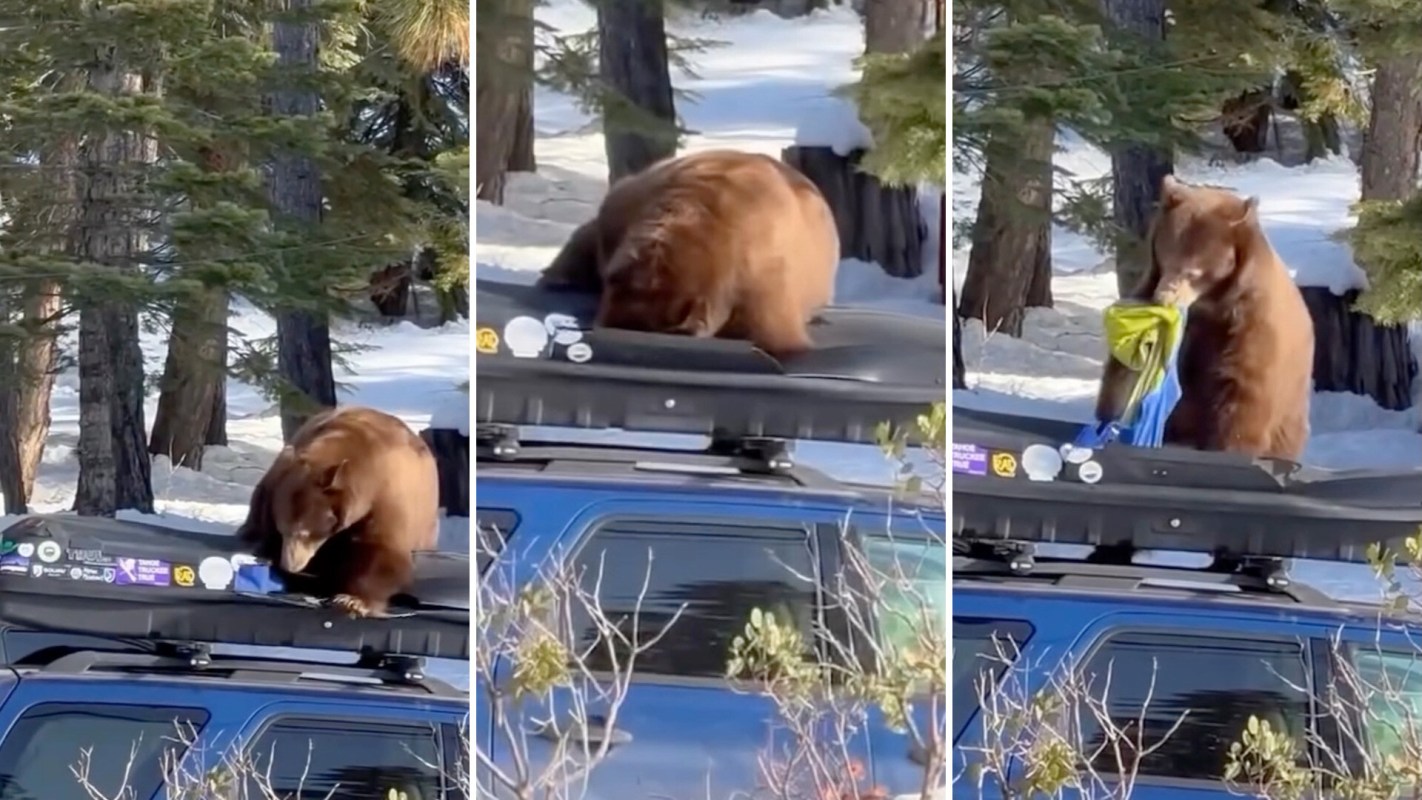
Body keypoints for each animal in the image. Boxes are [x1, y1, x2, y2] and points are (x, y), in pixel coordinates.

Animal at [235, 405, 441, 617]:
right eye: (283, 530)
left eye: (303, 533)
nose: (289, 565)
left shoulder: (387, 499)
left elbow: (383, 551)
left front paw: (352, 600)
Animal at [1093, 174, 1315, 461]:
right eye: (1164, 257)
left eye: (1194, 272)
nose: (1164, 298)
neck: (1211, 303)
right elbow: (1126, 375)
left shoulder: (1250, 328)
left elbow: (1242, 398)